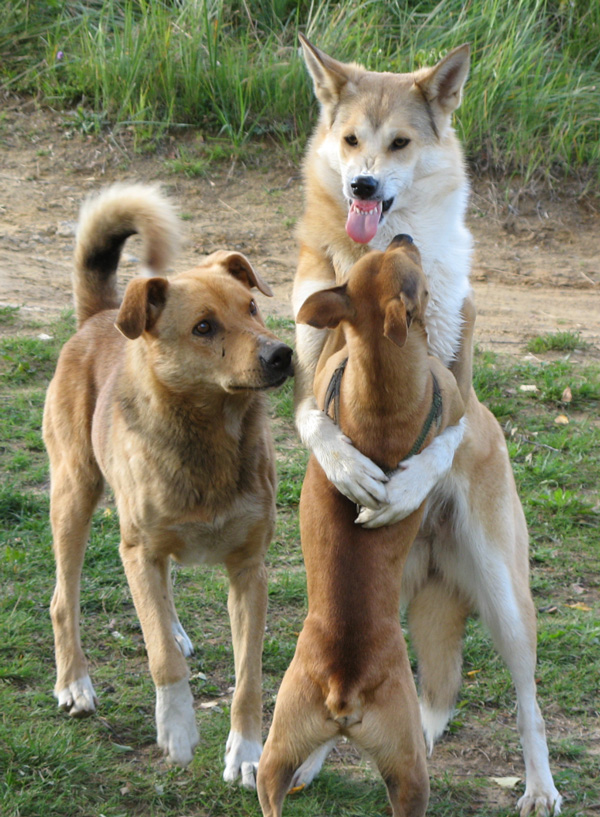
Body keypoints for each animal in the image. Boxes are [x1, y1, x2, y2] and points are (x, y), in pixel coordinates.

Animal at [42, 183, 292, 784]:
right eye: (203, 327)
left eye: (252, 308)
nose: (282, 354)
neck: (212, 434)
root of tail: (101, 315)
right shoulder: (137, 549)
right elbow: (160, 657)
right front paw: (177, 729)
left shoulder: (249, 570)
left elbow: (249, 677)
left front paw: (247, 752)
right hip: (74, 495)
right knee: (64, 599)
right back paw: (74, 683)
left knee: (163, 590)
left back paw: (173, 624)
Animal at [256, 236, 464, 816]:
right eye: (411, 267)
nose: (402, 237)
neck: (381, 366)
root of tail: (343, 684)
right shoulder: (455, 404)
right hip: (410, 765)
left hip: (278, 756)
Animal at [290, 38, 564, 816]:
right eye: (351, 140)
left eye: (400, 144)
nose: (361, 185)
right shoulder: (304, 379)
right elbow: (315, 421)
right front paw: (352, 468)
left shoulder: (460, 393)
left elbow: (443, 436)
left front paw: (407, 484)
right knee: (416, 699)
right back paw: (308, 757)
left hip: (506, 598)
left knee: (526, 704)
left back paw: (540, 786)